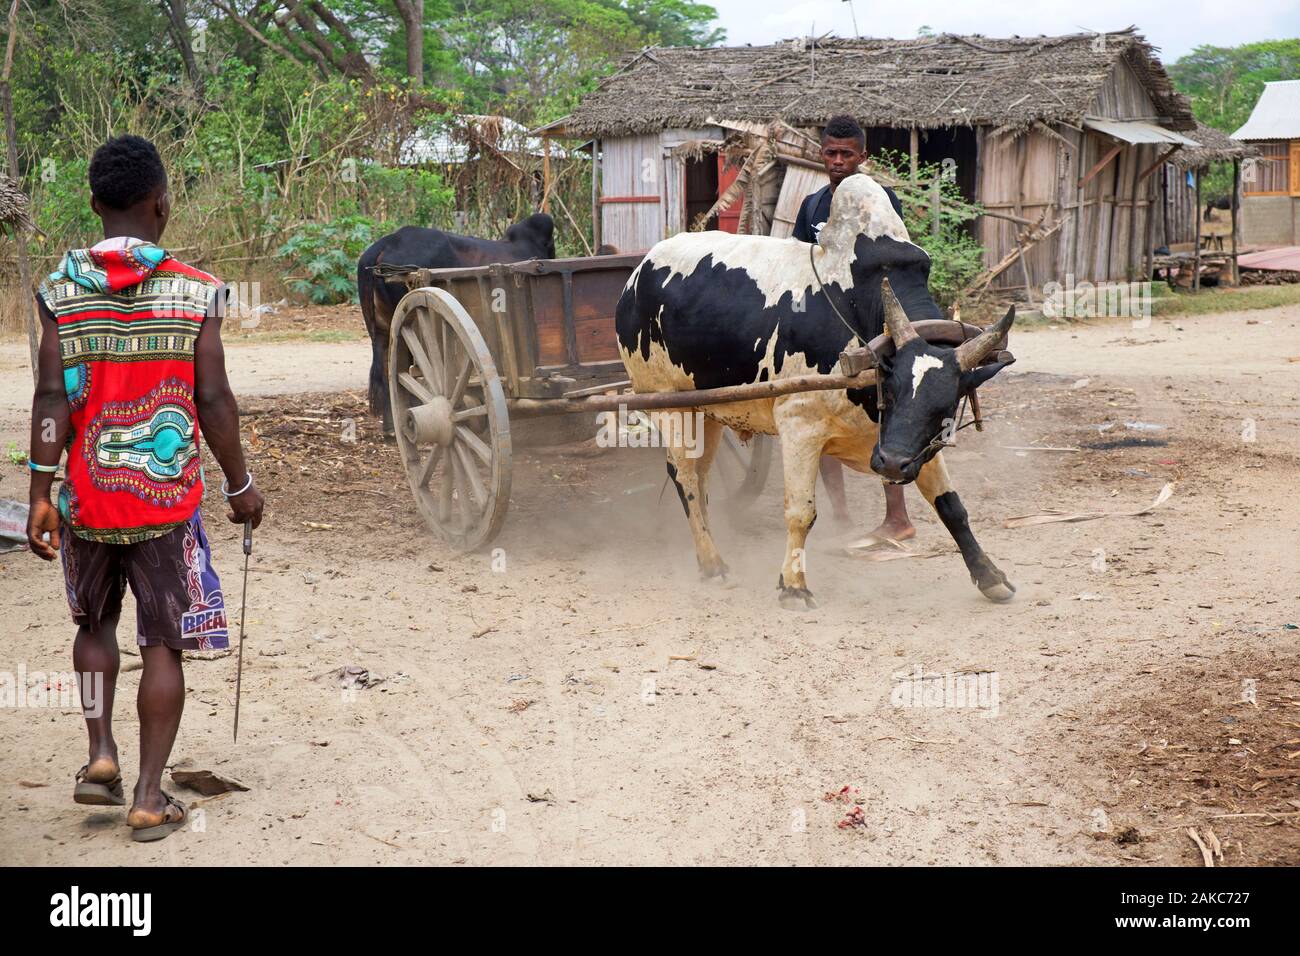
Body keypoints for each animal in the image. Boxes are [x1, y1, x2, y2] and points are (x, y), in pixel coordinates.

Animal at [613, 174, 1019, 608]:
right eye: (891, 392)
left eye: (945, 408)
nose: (892, 465)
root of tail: (638, 273)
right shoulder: (799, 424)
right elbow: (800, 511)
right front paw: (793, 585)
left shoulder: (911, 445)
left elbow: (951, 505)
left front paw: (990, 575)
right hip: (667, 405)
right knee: (685, 477)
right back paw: (712, 564)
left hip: (706, 410)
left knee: (702, 477)